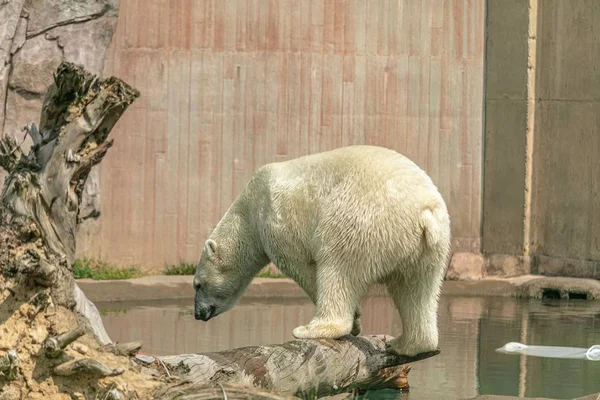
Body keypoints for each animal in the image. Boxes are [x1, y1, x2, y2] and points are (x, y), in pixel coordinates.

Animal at [195, 145, 452, 356]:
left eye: (197, 284)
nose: (197, 313)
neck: (249, 210)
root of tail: (423, 211)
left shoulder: (276, 219)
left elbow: (302, 267)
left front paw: (356, 318)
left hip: (360, 218)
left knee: (338, 268)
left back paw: (313, 328)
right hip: (429, 248)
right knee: (416, 289)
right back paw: (406, 344)